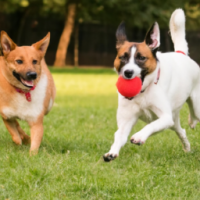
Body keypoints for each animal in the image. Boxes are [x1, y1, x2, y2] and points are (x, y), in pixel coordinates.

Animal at [103, 9, 200, 162]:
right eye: (122, 57)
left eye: (141, 58)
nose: (128, 73)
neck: (143, 92)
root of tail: (181, 54)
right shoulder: (126, 120)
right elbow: (119, 135)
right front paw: (112, 152)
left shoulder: (165, 117)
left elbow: (152, 125)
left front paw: (139, 136)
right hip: (174, 121)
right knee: (181, 131)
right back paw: (187, 146)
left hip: (195, 106)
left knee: (194, 113)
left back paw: (192, 121)